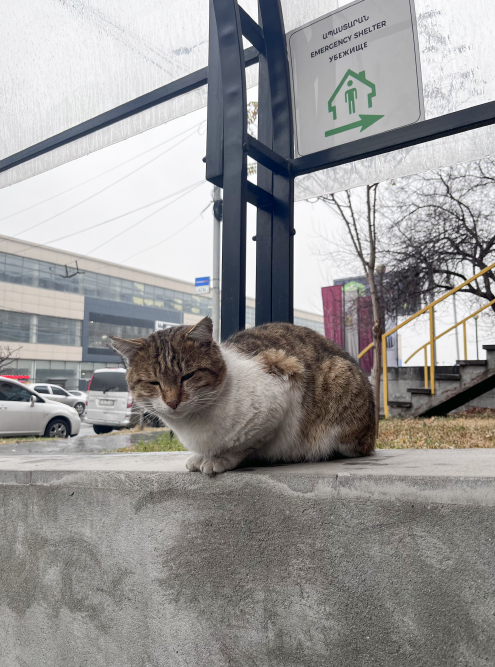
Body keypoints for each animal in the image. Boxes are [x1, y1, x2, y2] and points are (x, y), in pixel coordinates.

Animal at [111, 318, 376, 474]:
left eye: (187, 376)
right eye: (154, 382)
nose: (173, 402)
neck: (194, 426)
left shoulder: (282, 385)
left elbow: (247, 444)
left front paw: (220, 459)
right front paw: (201, 457)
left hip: (339, 378)